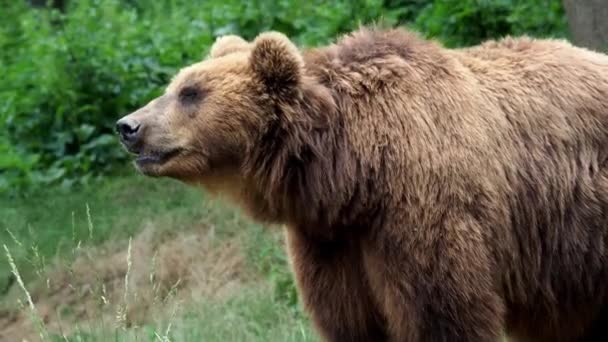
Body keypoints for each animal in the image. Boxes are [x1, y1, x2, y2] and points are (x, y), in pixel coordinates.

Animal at [116, 27, 608, 342]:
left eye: (191, 93)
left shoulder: (423, 214)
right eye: (175, 85)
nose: (128, 126)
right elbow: (350, 320)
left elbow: (443, 314)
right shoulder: (329, 241)